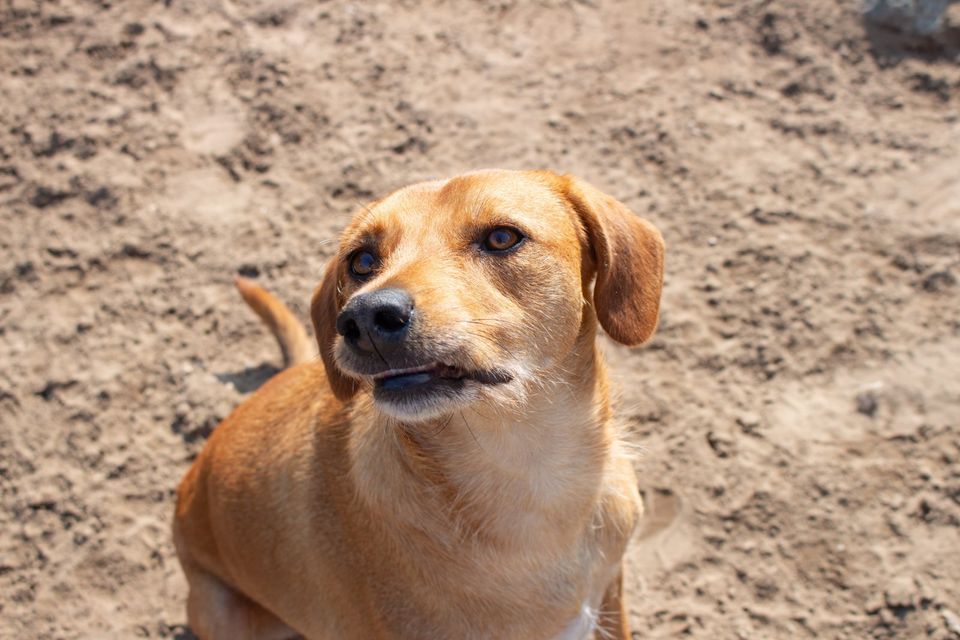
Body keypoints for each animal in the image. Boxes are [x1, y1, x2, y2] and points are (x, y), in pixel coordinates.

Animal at [172, 170, 664, 640]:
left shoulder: (611, 592)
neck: (530, 468)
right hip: (225, 614)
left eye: (502, 237)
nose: (365, 317)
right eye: (362, 260)